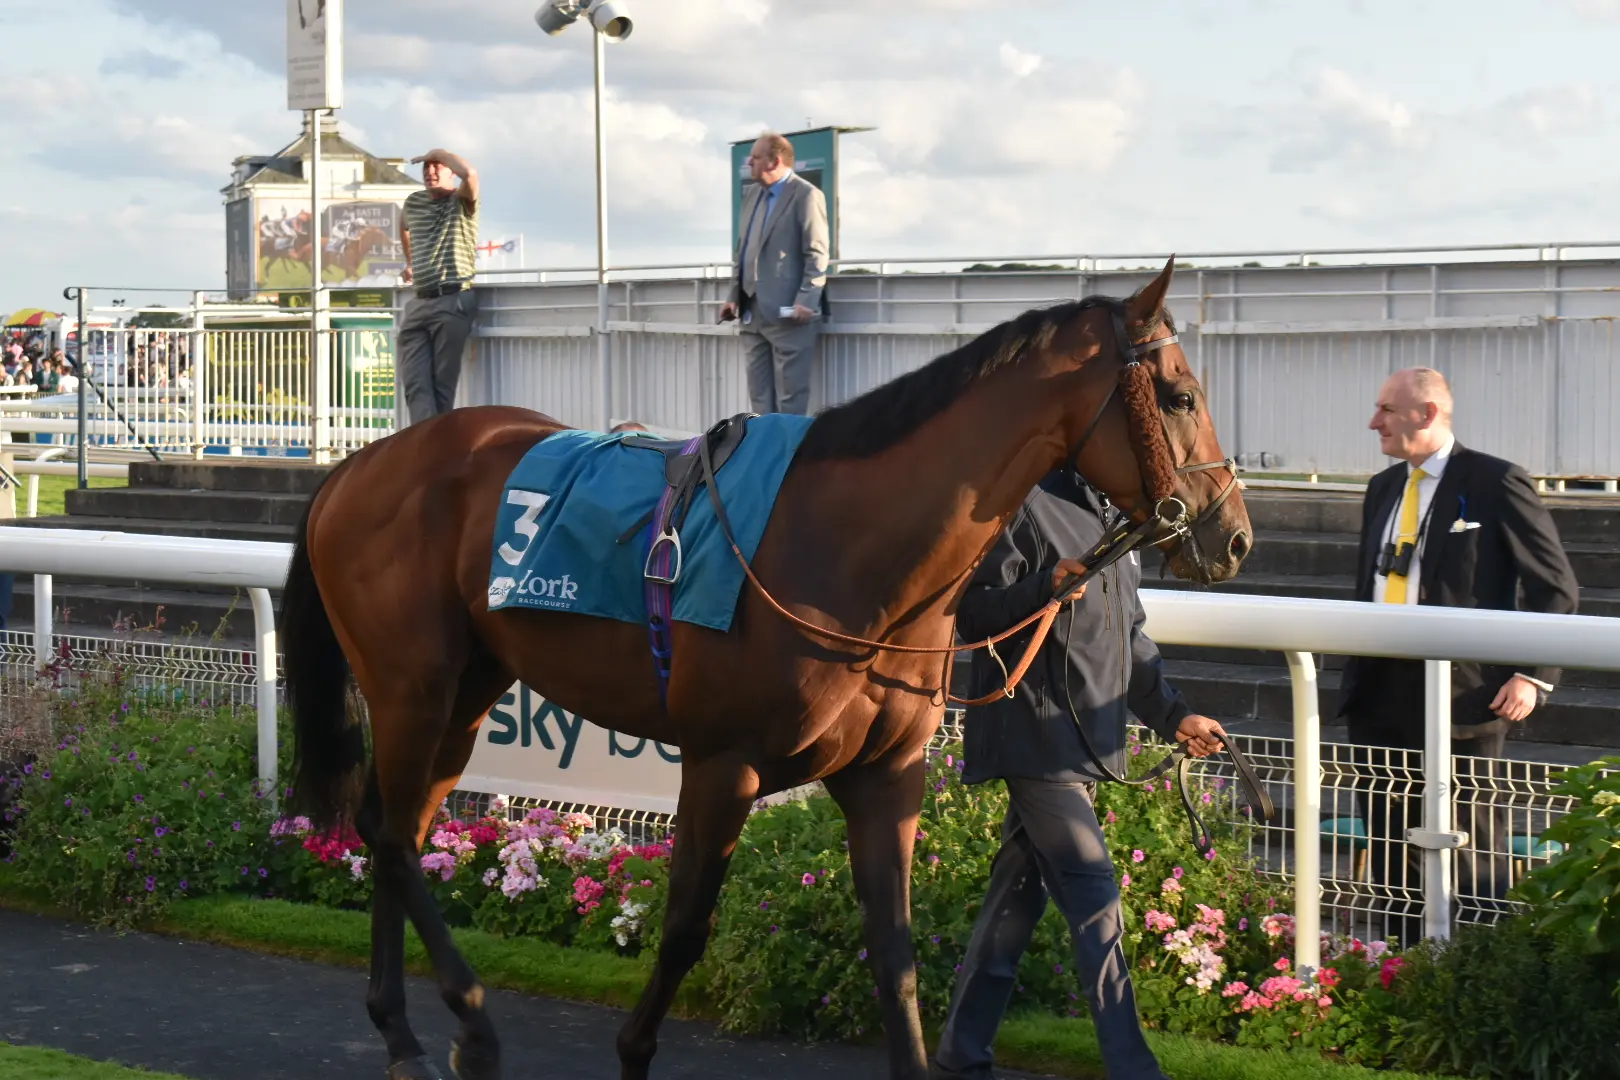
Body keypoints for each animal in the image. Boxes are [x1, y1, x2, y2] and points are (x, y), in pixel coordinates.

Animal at [281, 262, 1250, 1080]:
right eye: (1181, 394)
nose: (1233, 536)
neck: (846, 549)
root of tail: (354, 469)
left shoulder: (886, 773)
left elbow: (895, 950)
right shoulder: (724, 763)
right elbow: (683, 929)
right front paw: (632, 1049)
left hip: (466, 691)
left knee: (394, 827)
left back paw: (402, 1031)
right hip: (412, 686)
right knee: (394, 835)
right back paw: (470, 1023)